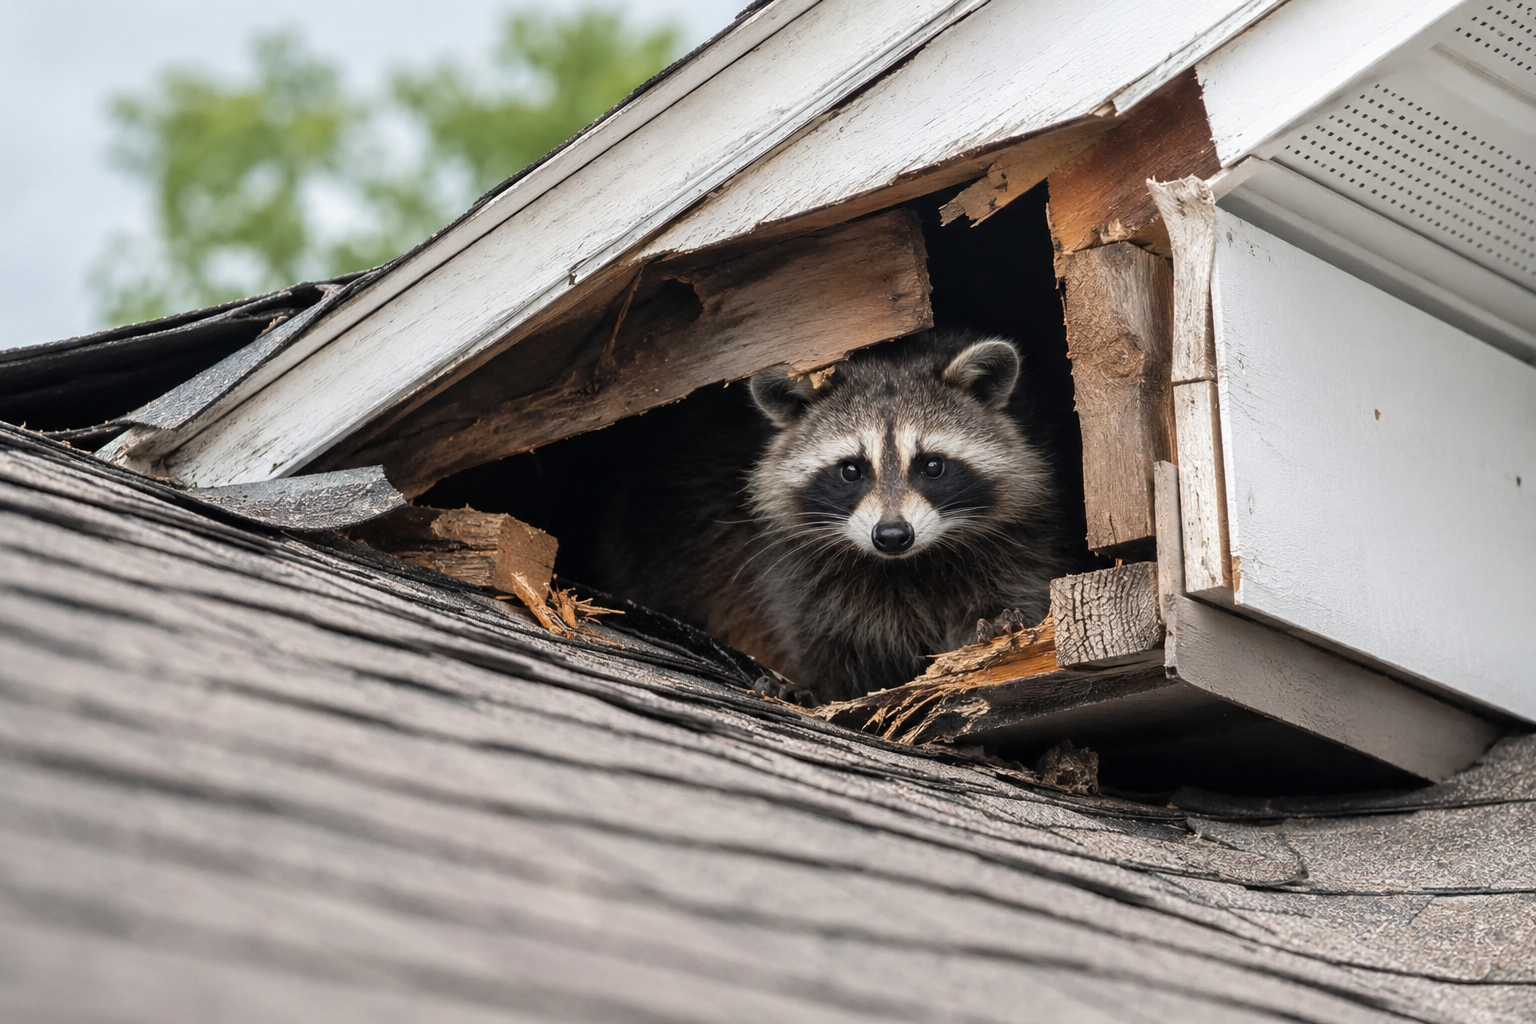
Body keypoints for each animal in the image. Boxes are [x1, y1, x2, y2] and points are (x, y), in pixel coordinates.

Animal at [596, 328, 1068, 704]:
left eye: (932, 466)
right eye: (851, 470)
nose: (892, 535)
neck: (904, 566)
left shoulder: (1024, 538)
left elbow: (1016, 589)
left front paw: (996, 625)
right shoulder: (791, 569)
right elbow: (824, 640)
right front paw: (819, 688)